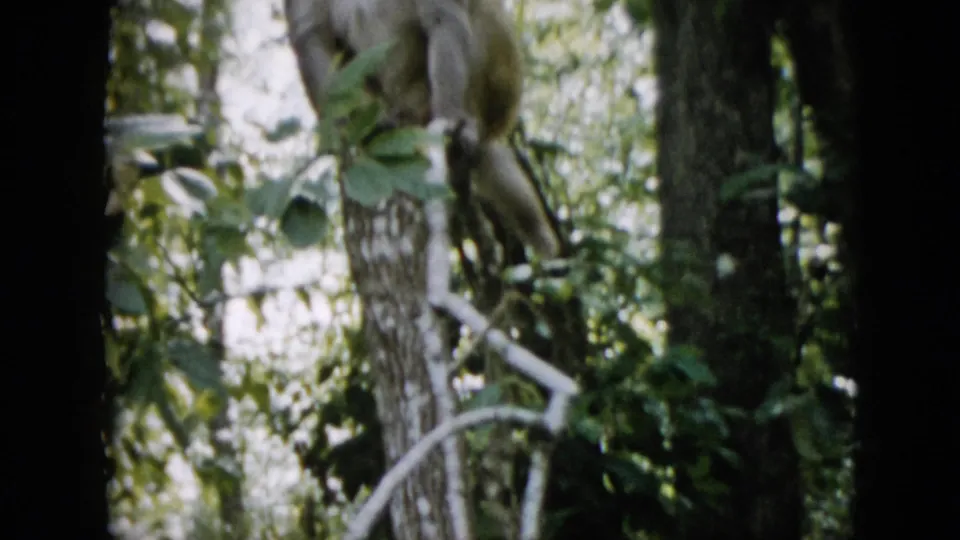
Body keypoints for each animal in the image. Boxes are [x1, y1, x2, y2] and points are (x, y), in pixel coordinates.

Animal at [284, 0, 561, 258]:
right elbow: (313, 36)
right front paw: (348, 130)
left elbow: (442, 17)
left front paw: (451, 118)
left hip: (498, 89)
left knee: (476, 14)